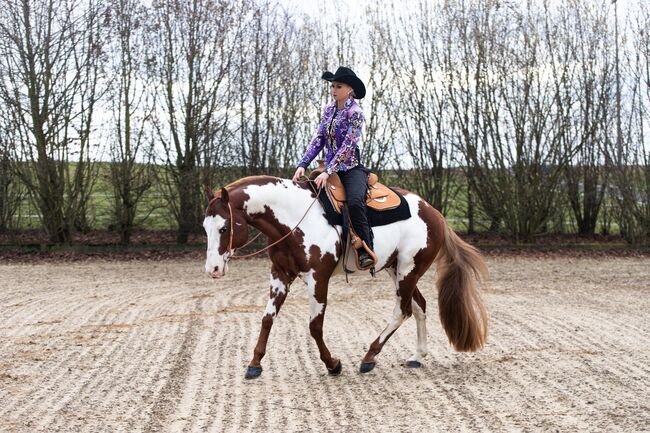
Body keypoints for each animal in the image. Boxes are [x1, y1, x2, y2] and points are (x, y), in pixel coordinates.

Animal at [202, 176, 486, 378]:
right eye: (205, 227)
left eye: (224, 227)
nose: (212, 269)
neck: (294, 219)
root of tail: (435, 214)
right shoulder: (281, 274)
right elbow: (267, 319)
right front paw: (254, 364)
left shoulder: (318, 278)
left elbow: (315, 326)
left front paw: (333, 365)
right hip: (397, 270)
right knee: (419, 307)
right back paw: (417, 356)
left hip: (408, 270)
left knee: (402, 311)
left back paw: (369, 358)